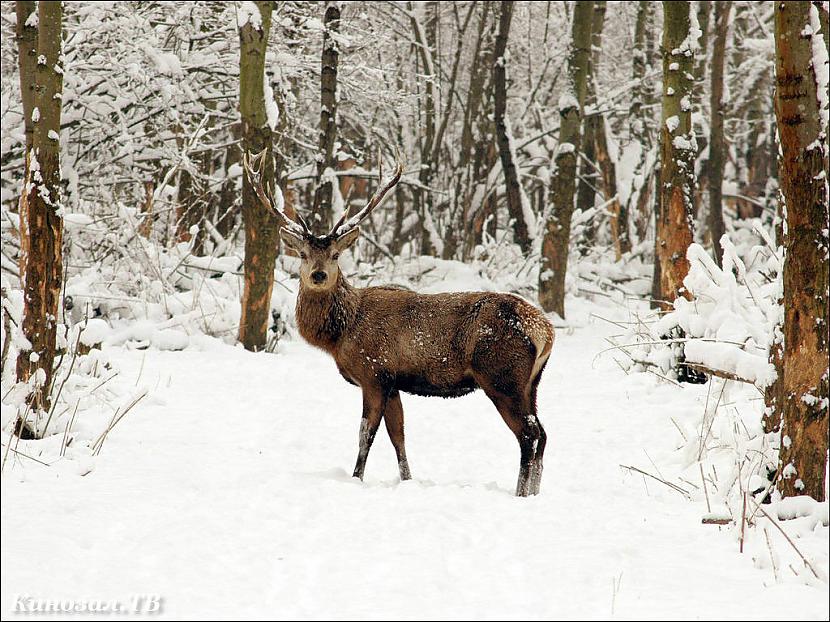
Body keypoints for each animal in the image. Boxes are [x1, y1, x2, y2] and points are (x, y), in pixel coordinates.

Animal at [244, 150, 556, 498]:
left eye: (336, 254)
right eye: (301, 254)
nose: (319, 275)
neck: (341, 334)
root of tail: (544, 330)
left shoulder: (374, 374)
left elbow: (365, 435)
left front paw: (356, 478)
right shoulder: (393, 384)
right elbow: (399, 437)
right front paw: (407, 481)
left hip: (502, 377)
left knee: (529, 435)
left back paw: (520, 494)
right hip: (532, 383)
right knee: (543, 434)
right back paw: (534, 493)